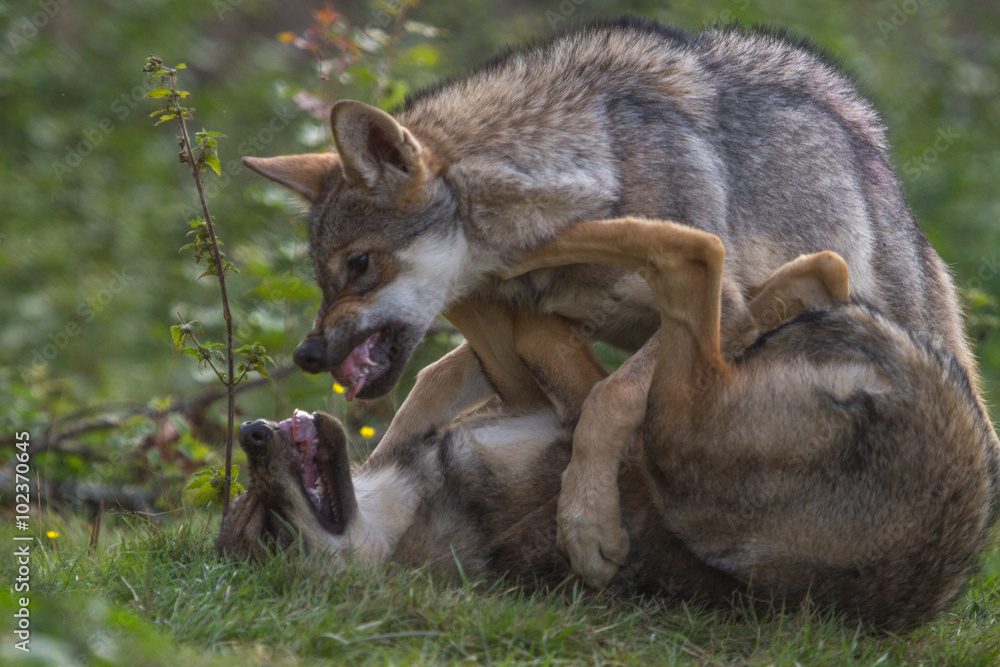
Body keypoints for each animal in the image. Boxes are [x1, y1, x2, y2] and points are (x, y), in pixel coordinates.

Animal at [219, 221, 997, 631]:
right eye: (266, 530)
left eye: (253, 513)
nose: (251, 432)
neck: (409, 506)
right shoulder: (568, 408)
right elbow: (540, 338)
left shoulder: (533, 398)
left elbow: (481, 348)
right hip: (682, 431)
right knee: (697, 268)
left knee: (796, 278)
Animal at [242, 17, 991, 586]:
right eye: (322, 279)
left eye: (359, 266)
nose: (308, 353)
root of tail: (873, 146)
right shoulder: (547, 323)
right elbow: (428, 388)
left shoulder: (722, 314)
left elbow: (607, 401)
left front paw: (585, 523)